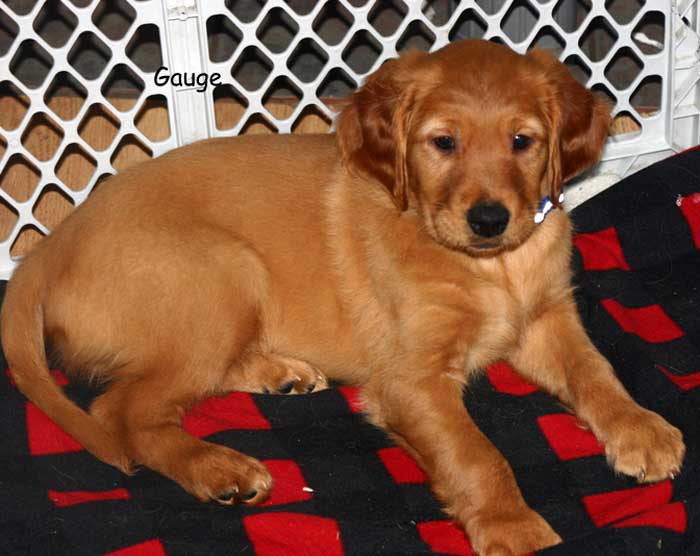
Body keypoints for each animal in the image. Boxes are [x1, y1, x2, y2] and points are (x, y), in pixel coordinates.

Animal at [2, 40, 688, 556]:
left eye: (523, 141)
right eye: (443, 143)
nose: (490, 220)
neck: (494, 269)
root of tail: (44, 251)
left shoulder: (546, 317)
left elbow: (595, 371)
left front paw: (640, 429)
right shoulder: (411, 381)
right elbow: (476, 455)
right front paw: (514, 527)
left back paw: (281, 373)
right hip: (223, 272)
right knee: (123, 410)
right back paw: (219, 469)